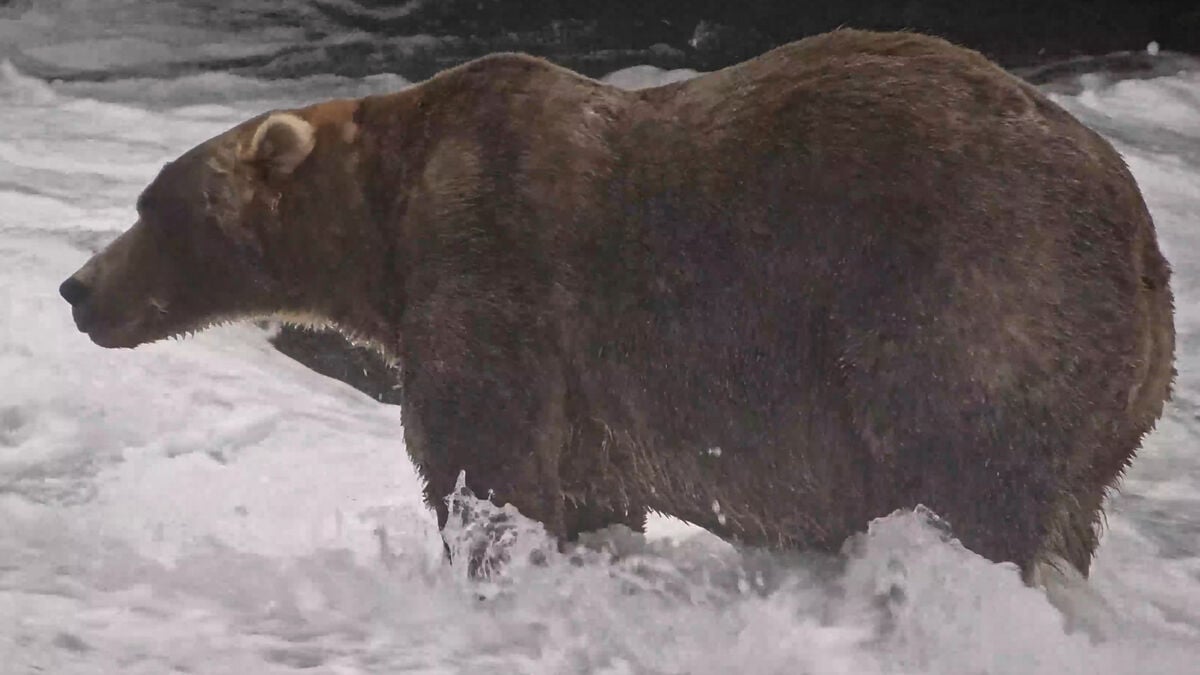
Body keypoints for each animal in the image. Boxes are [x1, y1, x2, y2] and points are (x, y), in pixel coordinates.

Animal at [59, 28, 1174, 581]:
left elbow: (484, 460)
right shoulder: (590, 392)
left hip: (970, 294)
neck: (383, 223)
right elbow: (589, 490)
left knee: (968, 473)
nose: (77, 288)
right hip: (1111, 398)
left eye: (152, 205)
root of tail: (1142, 236)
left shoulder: (494, 263)